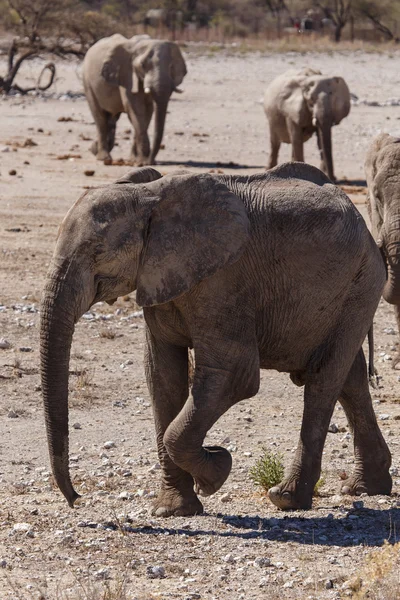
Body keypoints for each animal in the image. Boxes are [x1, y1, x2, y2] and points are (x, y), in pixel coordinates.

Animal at [40, 163, 390, 516]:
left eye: (96, 252)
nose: (76, 499)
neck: (147, 198)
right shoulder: (159, 279)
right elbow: (162, 376)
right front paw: (174, 510)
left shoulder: (224, 279)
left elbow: (235, 374)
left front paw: (216, 471)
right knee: (350, 378)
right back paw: (365, 487)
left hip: (361, 283)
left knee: (323, 380)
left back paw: (287, 498)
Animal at [82, 35, 188, 166]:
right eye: (143, 65)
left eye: (171, 66)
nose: (151, 162)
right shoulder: (127, 75)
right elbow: (136, 109)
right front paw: (141, 162)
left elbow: (148, 111)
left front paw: (134, 160)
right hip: (87, 83)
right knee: (100, 118)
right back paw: (103, 158)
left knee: (111, 119)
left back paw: (96, 150)